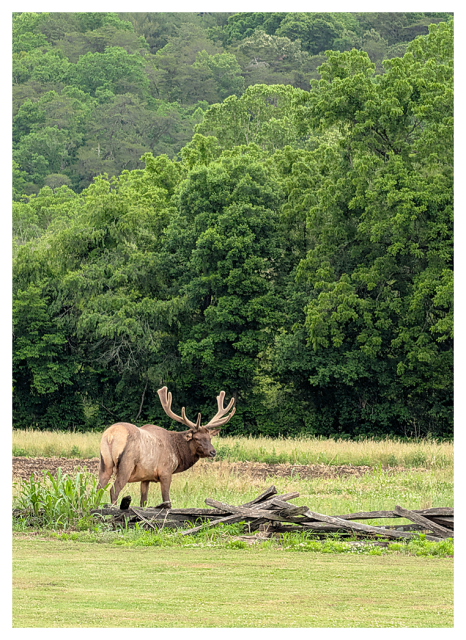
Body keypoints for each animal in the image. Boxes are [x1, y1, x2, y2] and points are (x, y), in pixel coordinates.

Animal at [97, 386, 235, 508]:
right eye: (196, 438)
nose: (213, 452)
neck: (177, 453)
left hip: (105, 462)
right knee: (114, 489)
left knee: (99, 487)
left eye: (209, 438)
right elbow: (166, 500)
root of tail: (110, 435)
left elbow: (144, 502)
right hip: (126, 463)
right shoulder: (166, 472)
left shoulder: (145, 477)